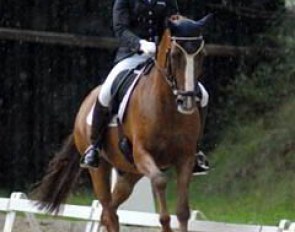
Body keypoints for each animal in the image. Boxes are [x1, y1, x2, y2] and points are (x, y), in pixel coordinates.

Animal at [34, 15, 210, 231]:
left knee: (111, 208)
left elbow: (183, 212)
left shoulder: (185, 158)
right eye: (176, 54)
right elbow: (160, 185)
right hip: (99, 169)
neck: (168, 107)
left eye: (202, 55)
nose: (187, 102)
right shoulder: (142, 153)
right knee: (109, 211)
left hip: (131, 171)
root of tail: (86, 102)